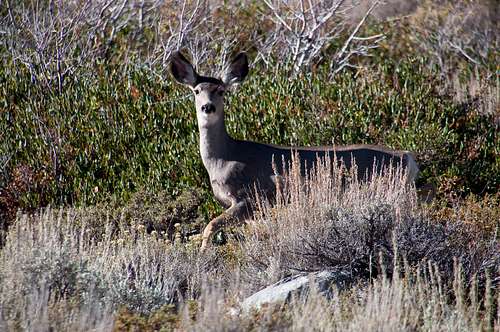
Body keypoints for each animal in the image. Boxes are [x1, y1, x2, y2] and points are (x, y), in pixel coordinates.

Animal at [170, 51, 420, 249]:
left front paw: (202, 256)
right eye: (196, 90)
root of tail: (407, 157)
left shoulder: (248, 197)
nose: (207, 107)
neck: (223, 158)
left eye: (221, 91)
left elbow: (210, 226)